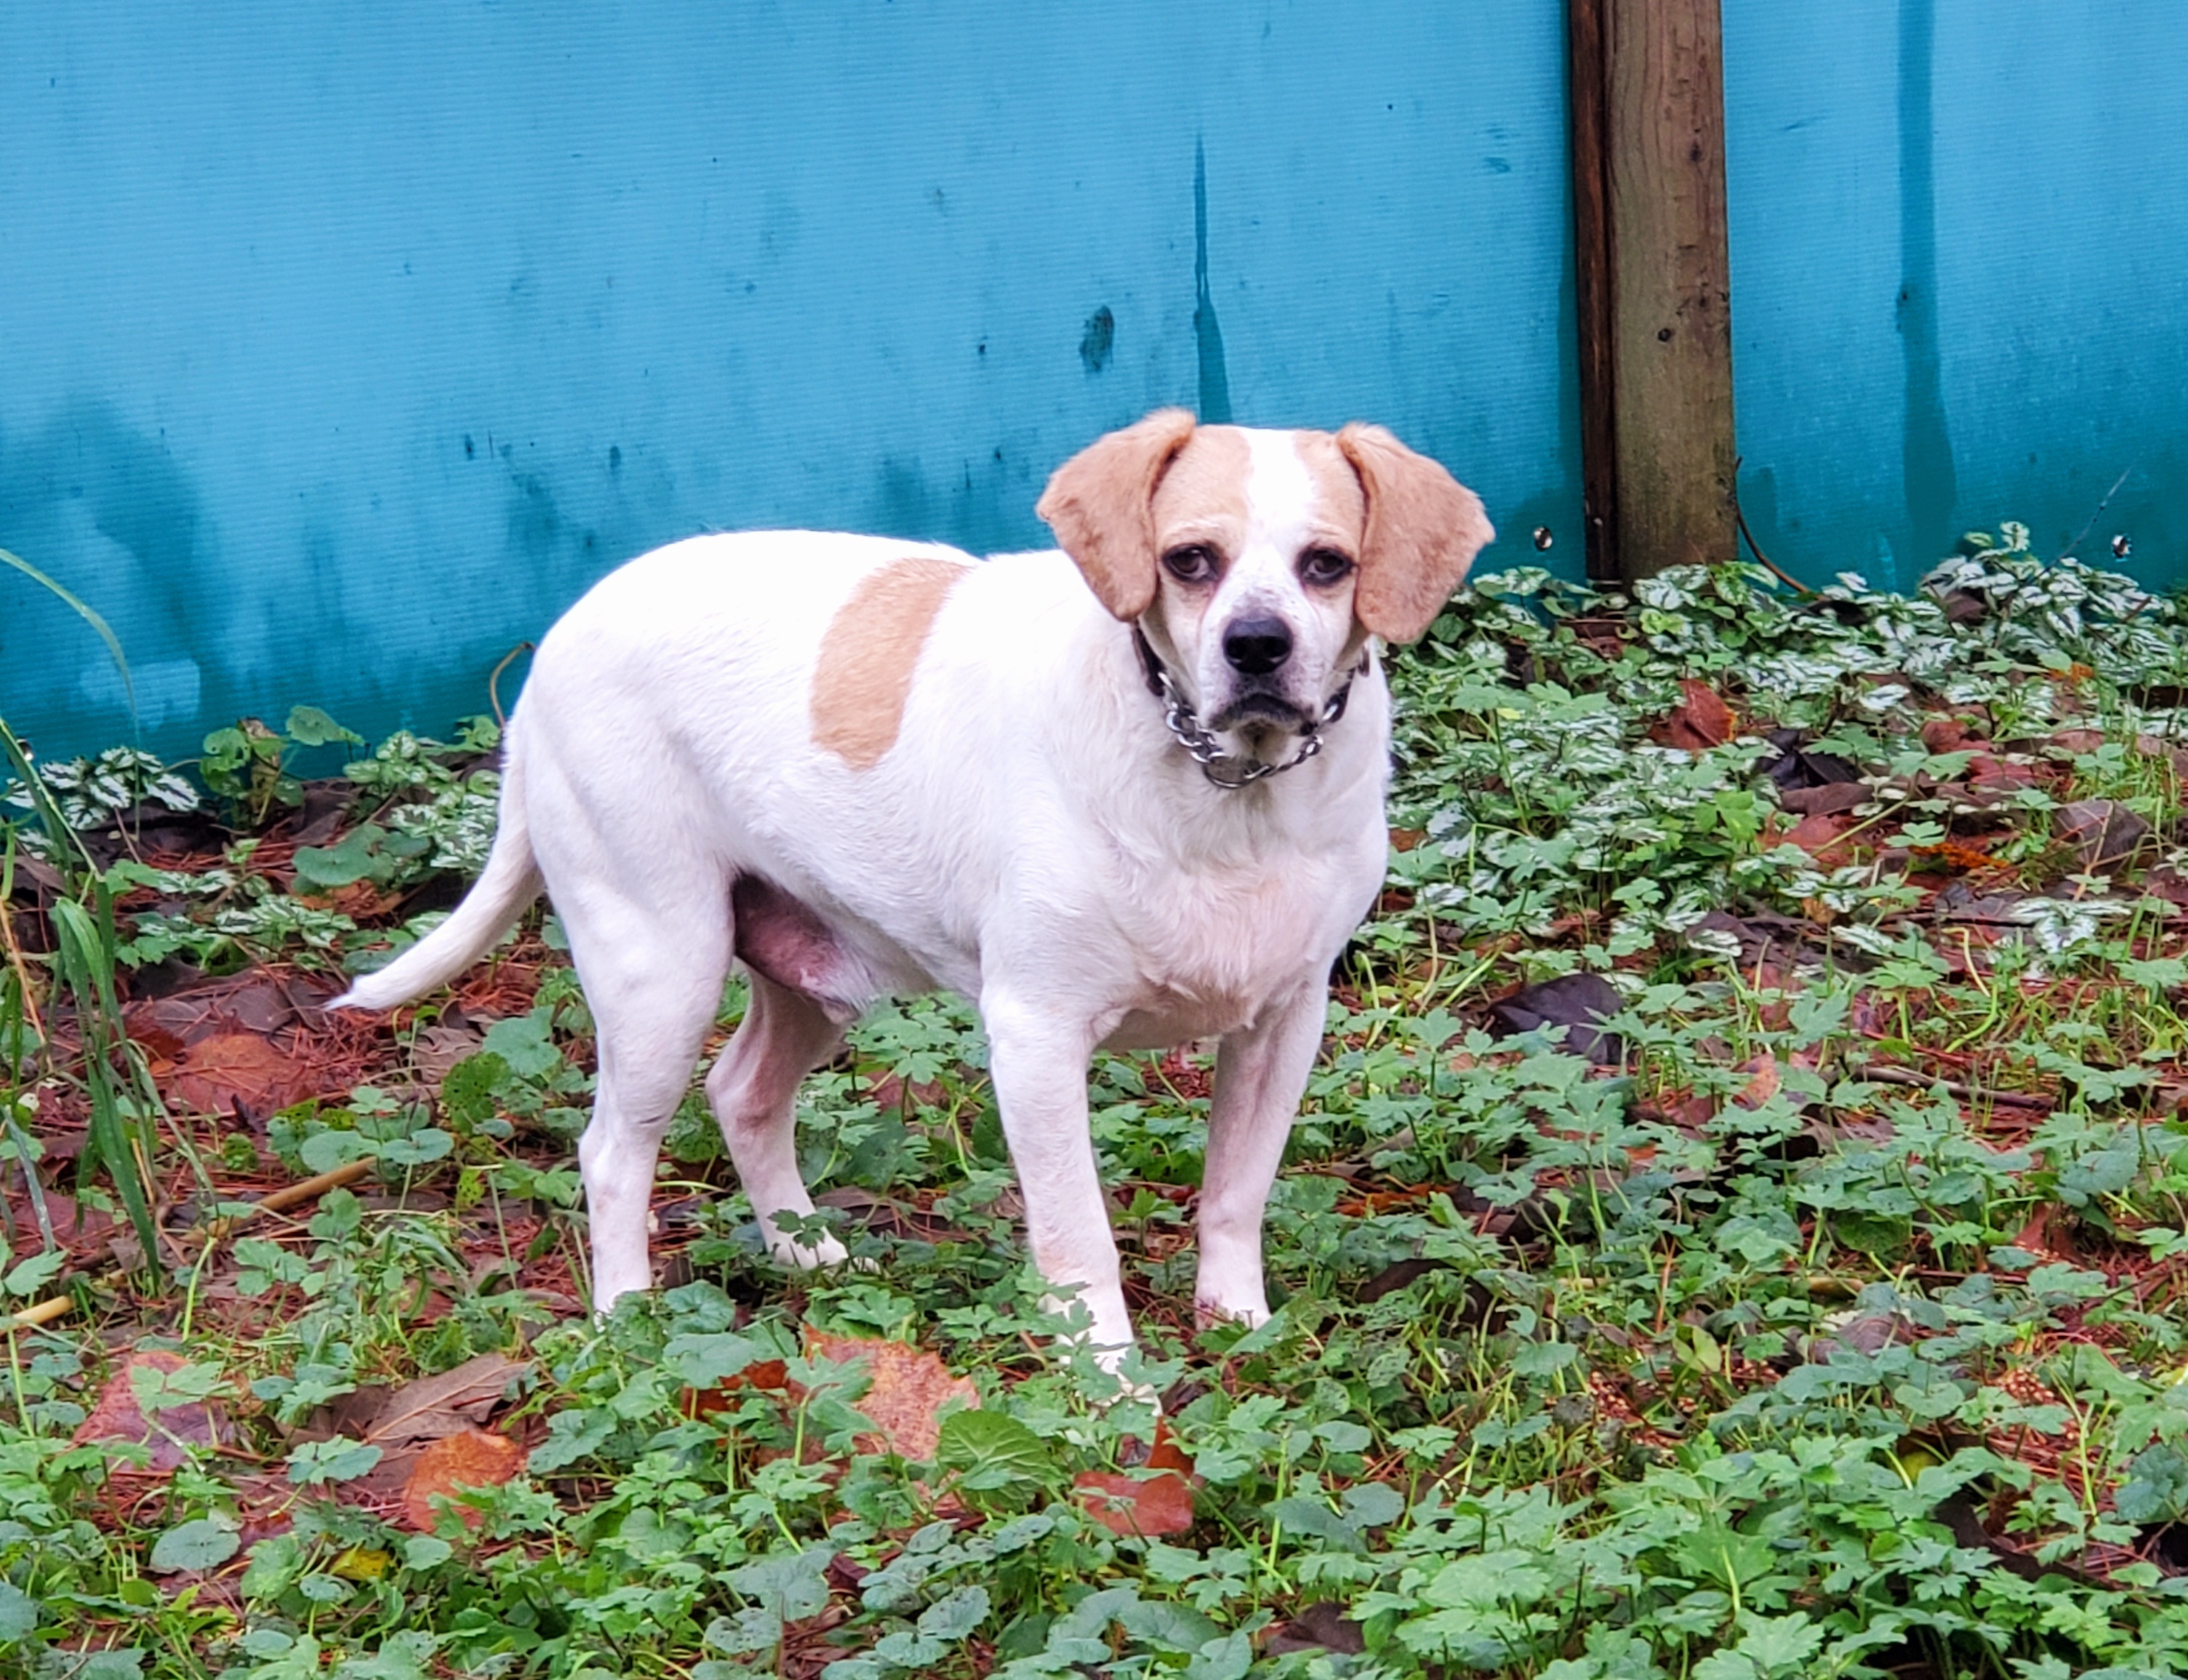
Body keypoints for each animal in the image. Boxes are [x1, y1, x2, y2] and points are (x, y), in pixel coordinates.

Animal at [337, 411, 1488, 1365]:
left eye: (1328, 565)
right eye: (1188, 562)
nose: (1258, 646)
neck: (1228, 791)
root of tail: (549, 652)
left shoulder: (1284, 1020)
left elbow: (1235, 1193)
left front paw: (1236, 1322)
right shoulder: (1036, 1039)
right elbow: (1080, 1242)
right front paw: (1112, 1391)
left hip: (804, 975)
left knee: (742, 1094)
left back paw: (804, 1253)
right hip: (660, 974)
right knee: (615, 1152)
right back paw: (630, 1324)